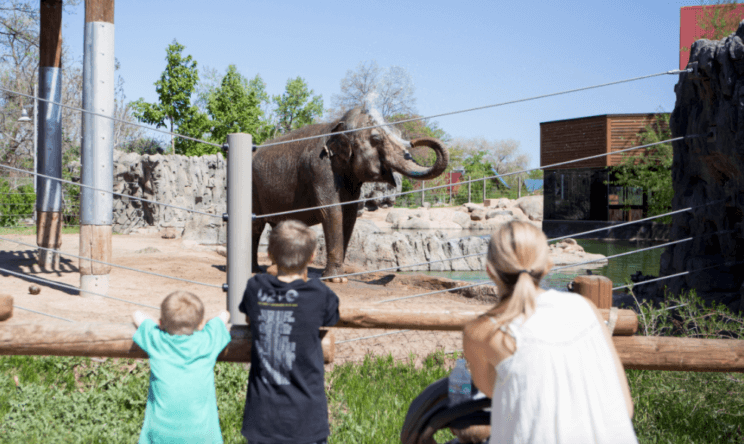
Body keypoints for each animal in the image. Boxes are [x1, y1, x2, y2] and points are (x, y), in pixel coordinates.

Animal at [251, 106, 448, 282]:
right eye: (376, 138)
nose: (414, 142)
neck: (338, 125)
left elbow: (349, 215)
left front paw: (337, 276)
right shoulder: (320, 168)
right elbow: (332, 212)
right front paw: (336, 280)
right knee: (256, 226)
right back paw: (256, 271)